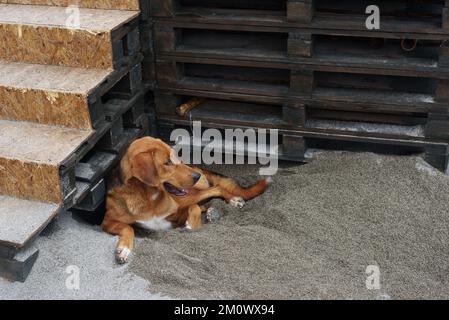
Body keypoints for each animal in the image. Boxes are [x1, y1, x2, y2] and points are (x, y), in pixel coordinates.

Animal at [101, 136, 270, 264]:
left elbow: (193, 209)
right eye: (167, 162)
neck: (148, 197)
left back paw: (233, 200)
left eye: (175, 158)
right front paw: (124, 249)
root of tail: (196, 167)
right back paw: (213, 212)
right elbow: (127, 228)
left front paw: (192, 225)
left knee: (214, 190)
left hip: (188, 195)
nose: (196, 176)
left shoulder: (176, 216)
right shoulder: (107, 221)